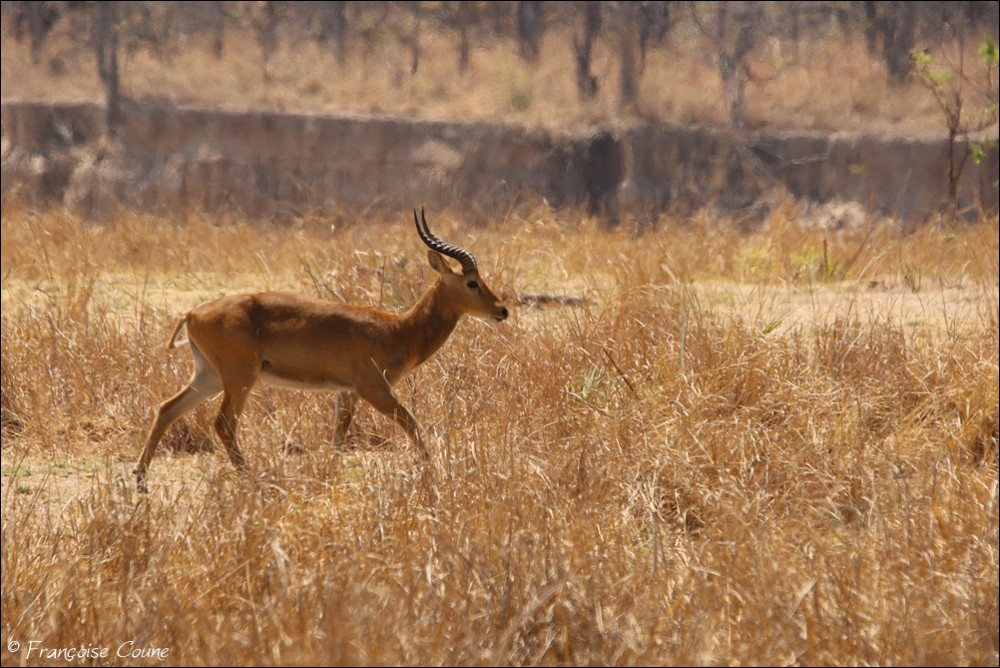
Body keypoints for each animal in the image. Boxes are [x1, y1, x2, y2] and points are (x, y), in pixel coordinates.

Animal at [134, 208, 509, 492]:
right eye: (471, 282)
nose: (502, 310)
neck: (398, 329)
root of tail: (192, 312)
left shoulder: (347, 393)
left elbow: (338, 437)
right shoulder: (374, 389)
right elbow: (412, 424)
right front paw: (431, 471)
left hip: (209, 377)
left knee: (167, 408)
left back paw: (141, 480)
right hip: (239, 379)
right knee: (223, 424)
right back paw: (250, 477)